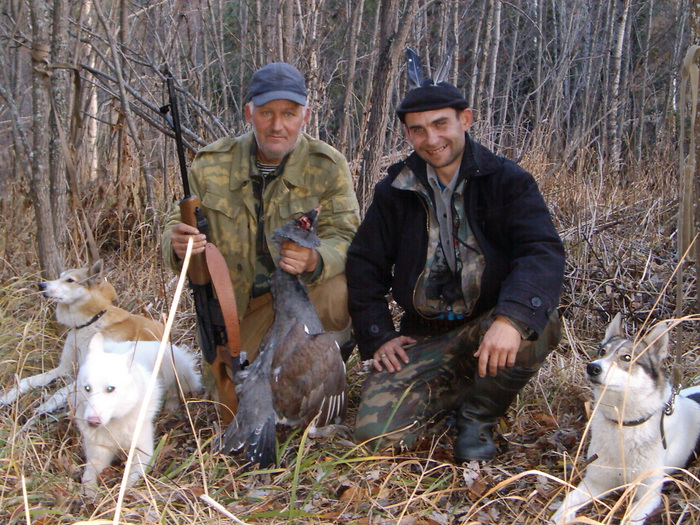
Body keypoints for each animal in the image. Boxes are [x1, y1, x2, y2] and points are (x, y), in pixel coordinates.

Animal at [0, 260, 165, 416]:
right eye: (60, 276)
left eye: (70, 280)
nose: (40, 285)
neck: (90, 323)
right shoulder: (64, 367)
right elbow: (27, 380)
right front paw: (8, 396)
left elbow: (62, 391)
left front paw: (46, 406)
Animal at [73, 334, 200, 494]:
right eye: (87, 388)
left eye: (110, 388)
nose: (92, 422)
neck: (116, 421)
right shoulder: (98, 454)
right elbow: (88, 476)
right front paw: (90, 492)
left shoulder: (143, 452)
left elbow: (130, 477)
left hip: (170, 365)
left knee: (173, 391)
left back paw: (171, 405)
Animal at [552, 314, 700, 520]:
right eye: (602, 352)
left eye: (627, 357)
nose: (592, 368)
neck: (624, 423)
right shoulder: (595, 482)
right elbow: (566, 503)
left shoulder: (648, 494)